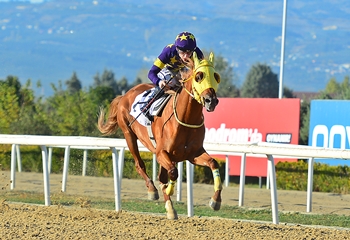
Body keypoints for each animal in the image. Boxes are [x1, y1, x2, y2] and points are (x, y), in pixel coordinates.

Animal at [97, 52, 223, 219]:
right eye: (198, 76)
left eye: (216, 76)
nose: (211, 101)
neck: (185, 119)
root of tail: (125, 95)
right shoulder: (161, 152)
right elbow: (173, 173)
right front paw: (167, 190)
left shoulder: (193, 154)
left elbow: (213, 163)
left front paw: (216, 201)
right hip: (128, 134)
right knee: (140, 164)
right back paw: (153, 191)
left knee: (162, 175)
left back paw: (169, 207)